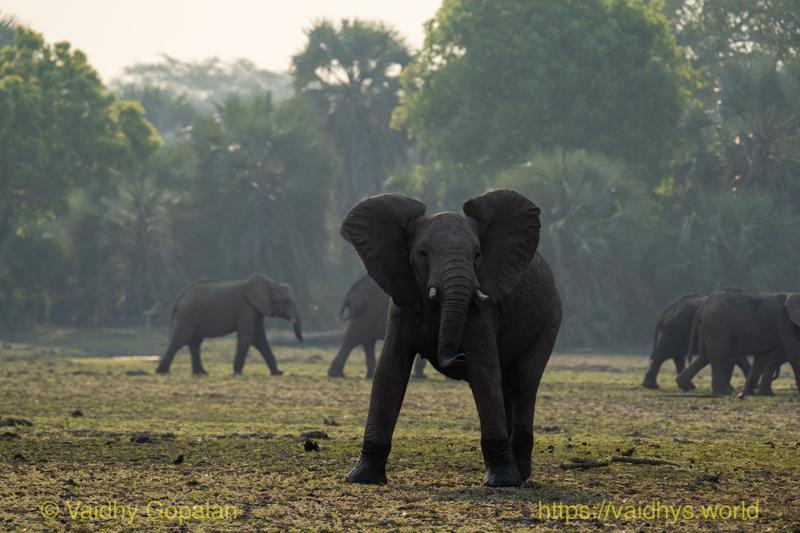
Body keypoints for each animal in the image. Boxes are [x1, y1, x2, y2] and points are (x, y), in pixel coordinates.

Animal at [155, 274, 302, 375]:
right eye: (286, 301)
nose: (300, 340)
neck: (269, 282)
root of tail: (179, 298)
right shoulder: (246, 307)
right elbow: (248, 337)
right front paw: (237, 373)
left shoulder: (255, 309)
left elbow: (260, 339)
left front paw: (279, 373)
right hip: (187, 315)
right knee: (179, 341)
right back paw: (162, 372)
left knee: (195, 343)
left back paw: (201, 373)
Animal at [340, 189, 562, 487]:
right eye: (422, 253)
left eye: (477, 255)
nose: (456, 356)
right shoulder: (402, 301)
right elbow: (390, 371)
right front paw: (363, 478)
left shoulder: (482, 306)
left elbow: (483, 370)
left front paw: (501, 482)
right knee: (504, 383)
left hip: (550, 319)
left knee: (520, 381)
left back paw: (521, 473)